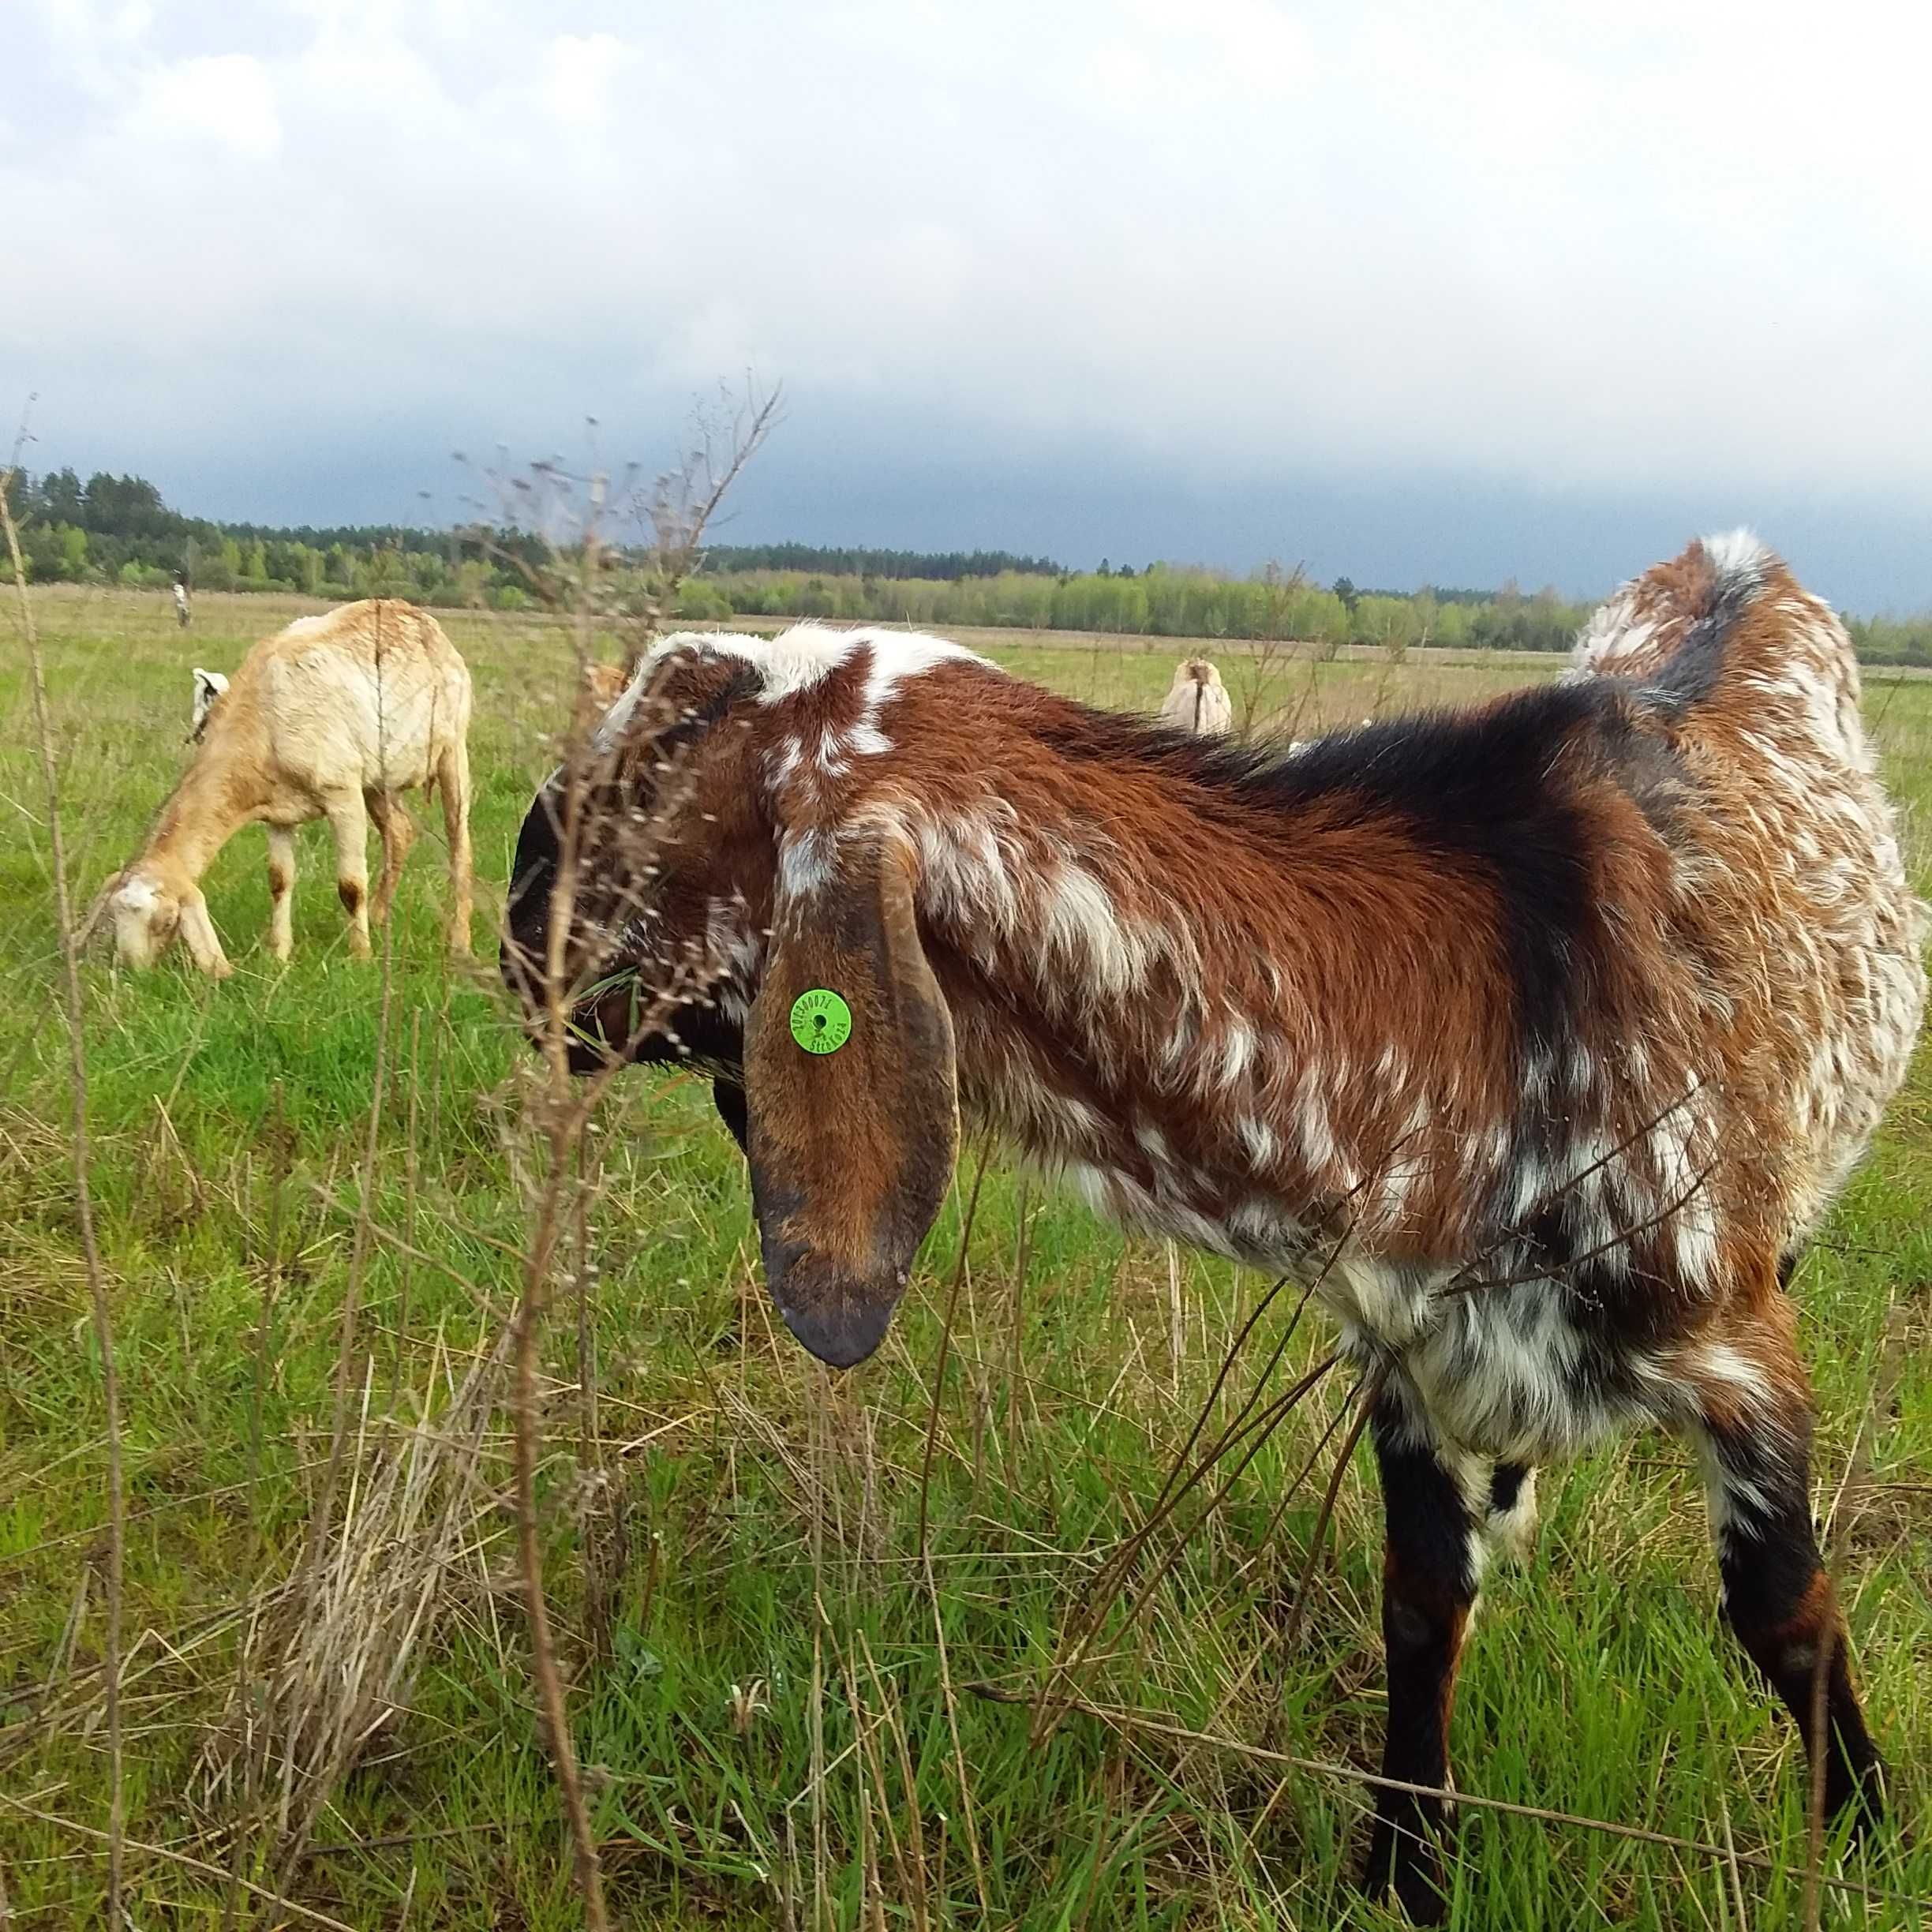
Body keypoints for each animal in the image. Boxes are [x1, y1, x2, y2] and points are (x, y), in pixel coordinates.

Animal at [107, 594, 475, 973]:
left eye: (167, 921)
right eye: (114, 918)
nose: (132, 971)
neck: (262, 726)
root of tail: (413, 613)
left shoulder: (343, 795)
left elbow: (351, 886)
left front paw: (360, 958)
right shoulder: (279, 813)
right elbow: (279, 881)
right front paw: (279, 954)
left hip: (452, 749)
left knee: (459, 843)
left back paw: (459, 942)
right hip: (377, 781)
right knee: (401, 832)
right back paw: (378, 916)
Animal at [506, 541, 1924, 1916]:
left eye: (668, 746)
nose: (522, 906)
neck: (1470, 1007)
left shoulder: (1739, 1349)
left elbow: (1785, 1614)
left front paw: (1865, 1835)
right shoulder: (1406, 1354)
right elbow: (1422, 1598)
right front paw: (1403, 1869)